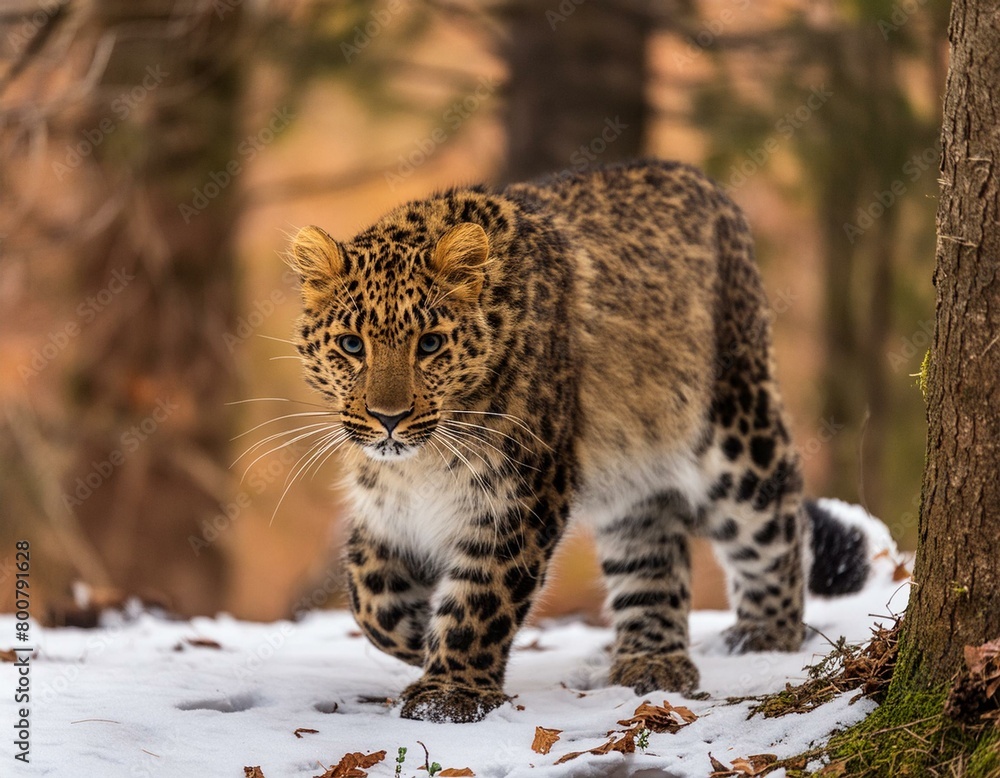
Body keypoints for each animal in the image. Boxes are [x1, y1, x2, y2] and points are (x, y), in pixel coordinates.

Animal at [286, 160, 870, 723]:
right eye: (351, 345)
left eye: (429, 344)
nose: (388, 418)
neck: (422, 460)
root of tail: (707, 184)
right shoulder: (385, 506)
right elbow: (370, 596)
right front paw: (417, 638)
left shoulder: (520, 493)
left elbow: (480, 599)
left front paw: (448, 694)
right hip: (636, 474)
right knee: (650, 555)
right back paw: (652, 661)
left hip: (735, 429)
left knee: (776, 521)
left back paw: (765, 636)